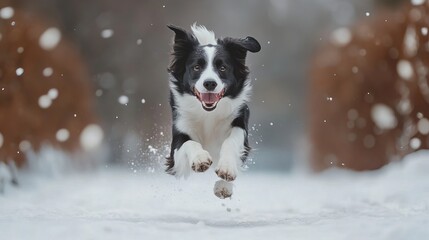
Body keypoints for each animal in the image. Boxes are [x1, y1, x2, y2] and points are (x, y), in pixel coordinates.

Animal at [166, 24, 260, 185]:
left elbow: (230, 141)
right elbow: (189, 143)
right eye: (196, 67)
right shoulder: (177, 145)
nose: (210, 83)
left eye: (222, 68)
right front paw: (200, 158)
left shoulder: (240, 122)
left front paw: (227, 167)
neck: (208, 114)